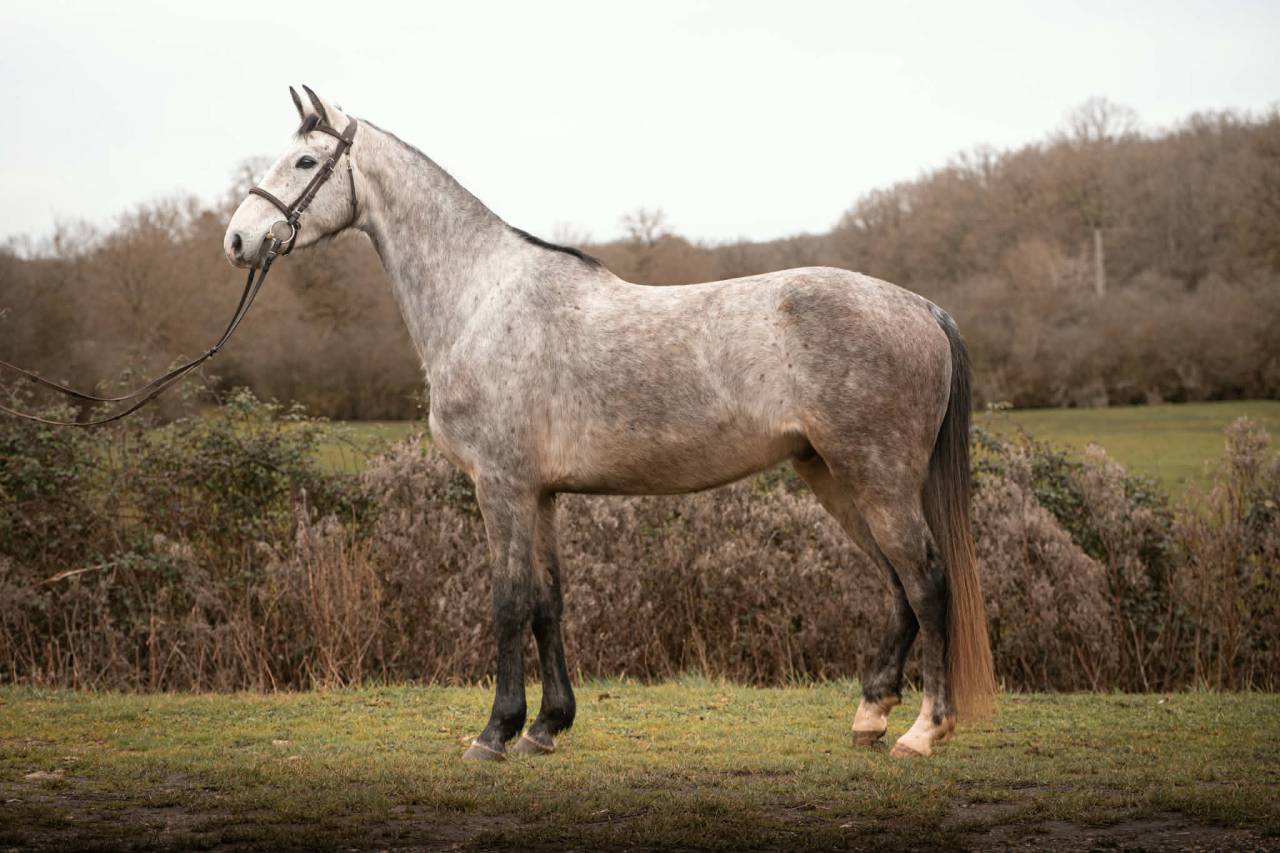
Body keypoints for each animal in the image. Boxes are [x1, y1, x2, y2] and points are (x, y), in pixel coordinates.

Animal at [224, 86, 996, 761]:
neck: (481, 298)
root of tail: (922, 307)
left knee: (928, 582)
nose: (238, 239)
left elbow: (508, 603)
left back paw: (923, 730)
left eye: (304, 162)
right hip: (834, 477)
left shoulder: (500, 487)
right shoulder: (540, 494)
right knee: (897, 583)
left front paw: (495, 732)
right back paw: (871, 713)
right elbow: (548, 602)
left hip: (877, 479)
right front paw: (547, 726)